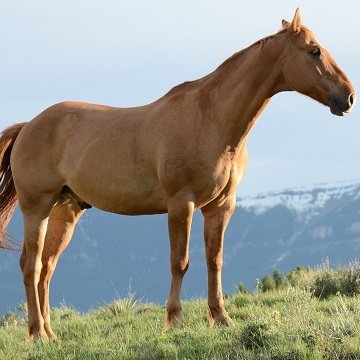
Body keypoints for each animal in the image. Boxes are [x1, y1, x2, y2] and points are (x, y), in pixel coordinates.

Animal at [0, 9, 356, 340]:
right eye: (314, 50)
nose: (349, 96)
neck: (211, 119)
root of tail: (28, 125)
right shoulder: (181, 204)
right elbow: (179, 261)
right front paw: (175, 319)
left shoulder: (220, 206)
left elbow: (215, 260)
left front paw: (220, 317)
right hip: (37, 208)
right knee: (30, 265)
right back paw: (36, 332)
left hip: (67, 211)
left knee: (46, 267)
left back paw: (50, 333)